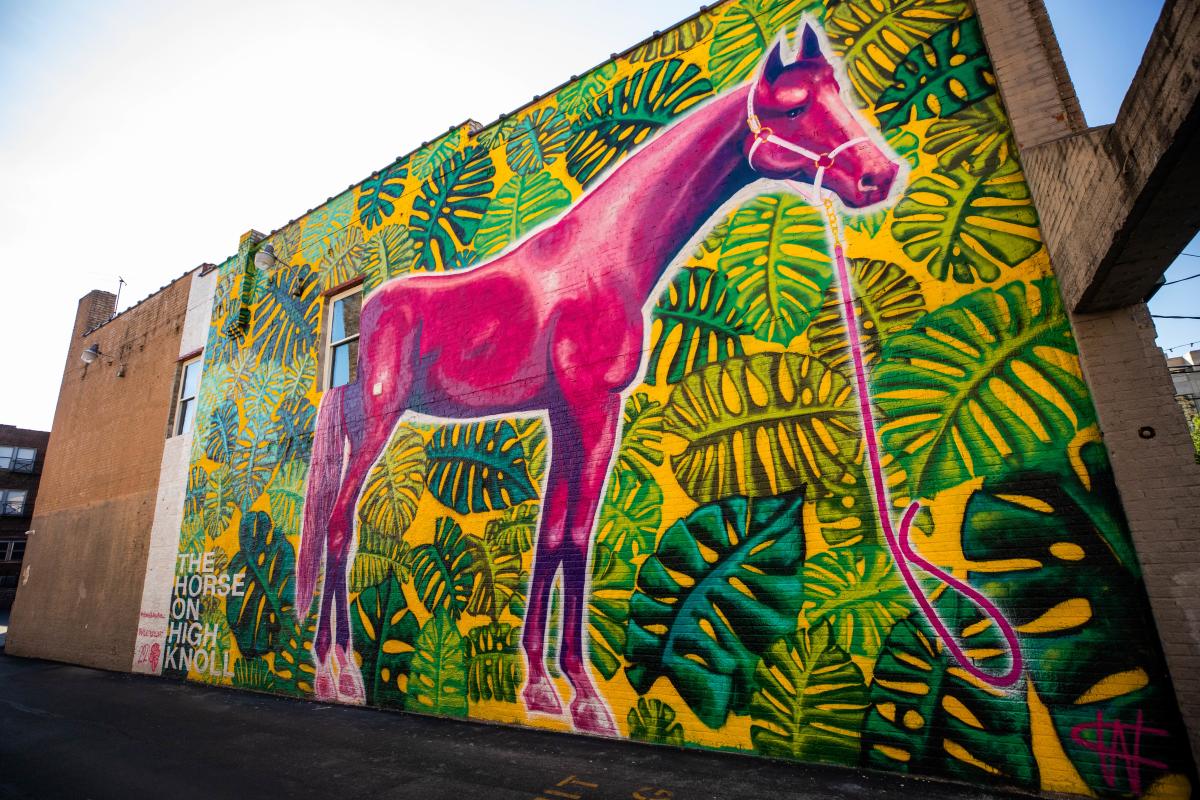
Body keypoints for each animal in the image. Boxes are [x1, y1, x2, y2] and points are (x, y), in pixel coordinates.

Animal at [297, 23, 902, 738]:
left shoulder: (563, 411)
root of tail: (354, 337)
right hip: (381, 423)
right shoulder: (596, 405)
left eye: (836, 91)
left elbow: (550, 535)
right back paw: (338, 673)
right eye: (792, 107)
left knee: (341, 525)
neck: (606, 254)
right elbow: (578, 536)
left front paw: (540, 687)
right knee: (340, 527)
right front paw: (586, 696)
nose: (878, 175)